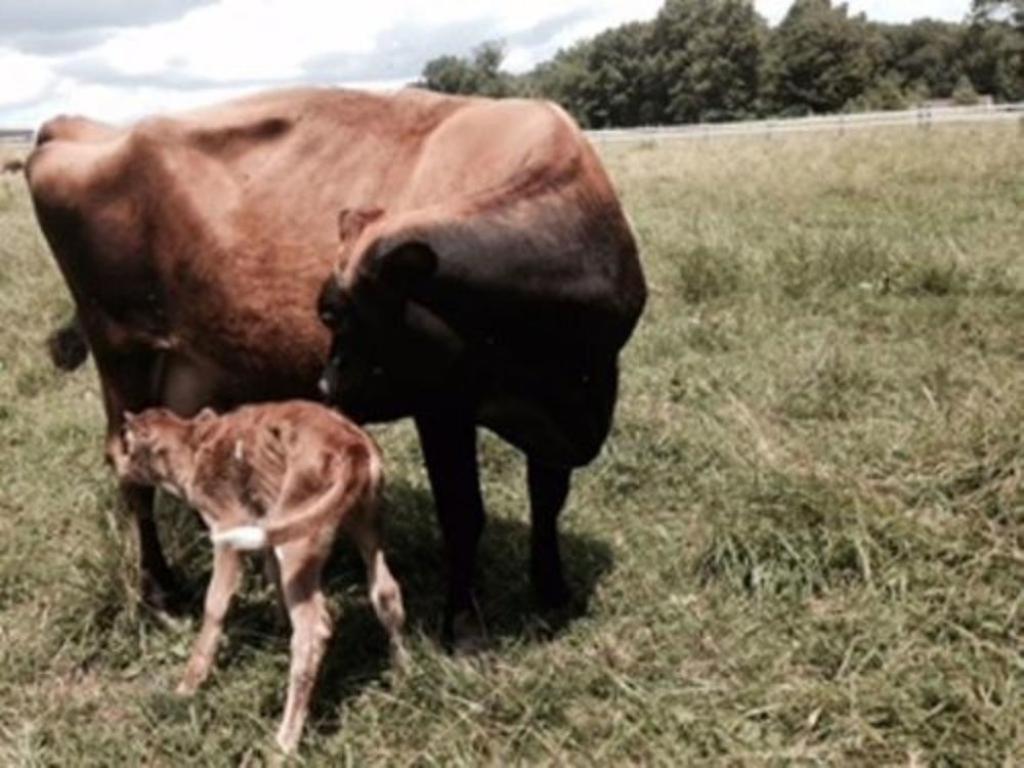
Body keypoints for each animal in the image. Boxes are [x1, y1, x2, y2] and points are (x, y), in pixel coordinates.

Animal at [28, 87, 643, 647]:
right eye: (325, 314)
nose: (327, 384)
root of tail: (76, 128)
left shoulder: (576, 395)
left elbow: (549, 499)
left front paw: (552, 591)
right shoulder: (441, 406)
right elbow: (463, 512)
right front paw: (464, 625)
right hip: (124, 351)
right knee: (131, 469)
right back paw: (161, 592)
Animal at [108, 399, 403, 753]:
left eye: (126, 441)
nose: (112, 461)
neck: (191, 445)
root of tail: (354, 447)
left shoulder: (228, 530)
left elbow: (215, 606)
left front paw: (188, 686)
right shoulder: (268, 527)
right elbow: (273, 577)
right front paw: (277, 627)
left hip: (299, 539)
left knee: (313, 628)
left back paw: (285, 741)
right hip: (364, 523)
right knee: (386, 592)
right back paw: (404, 673)